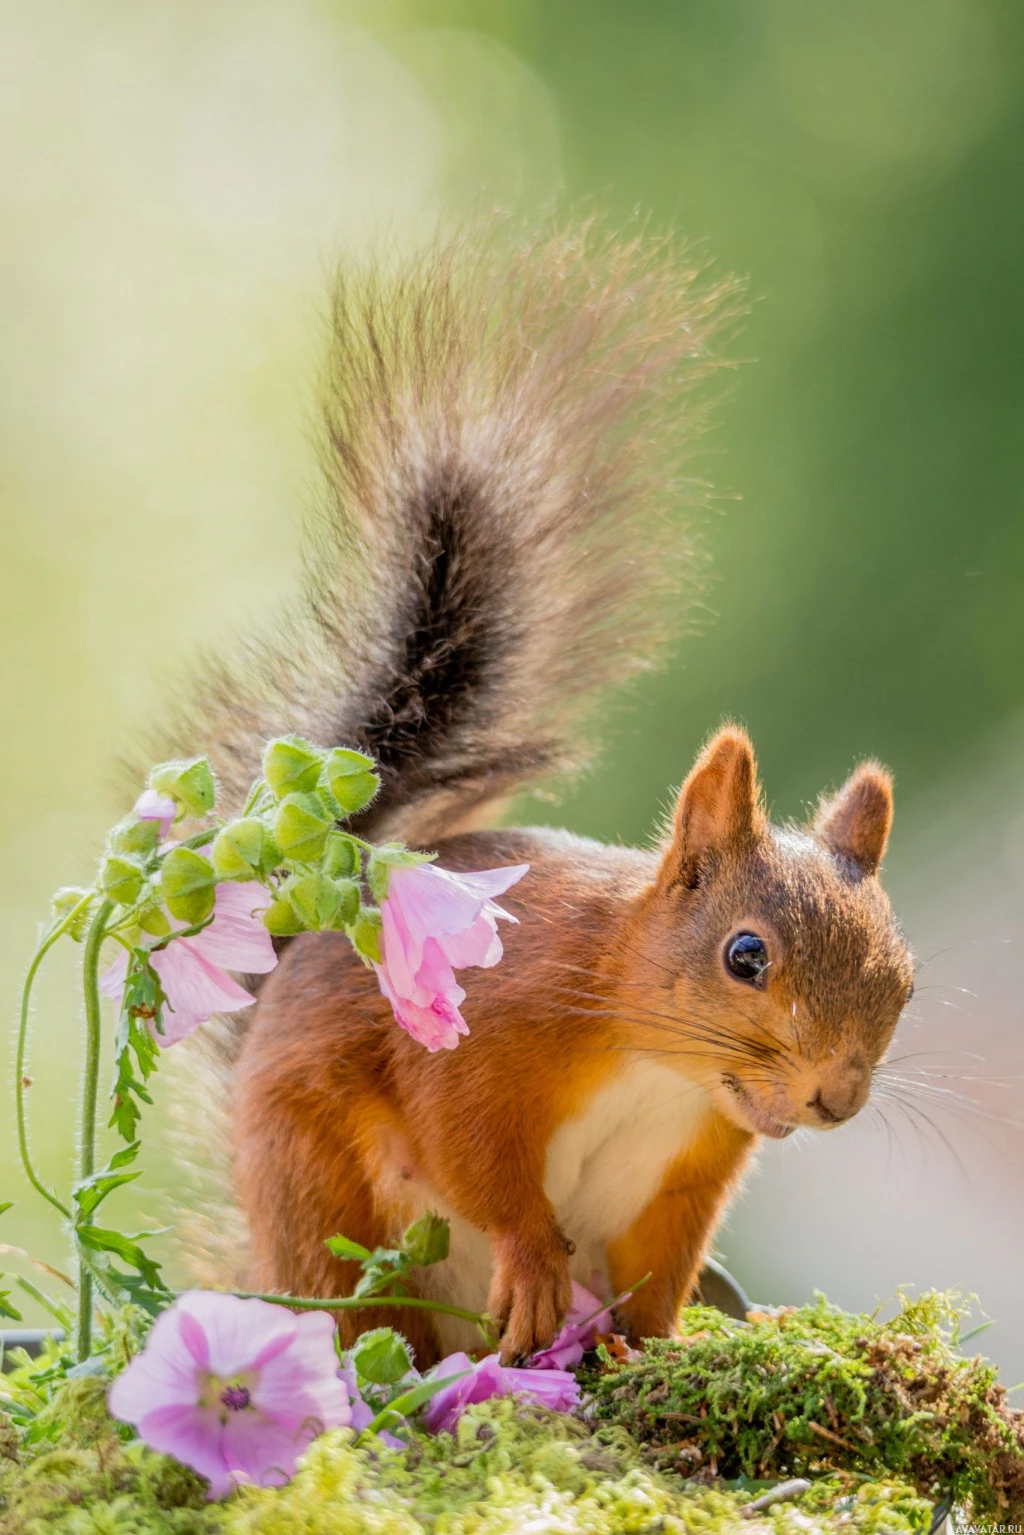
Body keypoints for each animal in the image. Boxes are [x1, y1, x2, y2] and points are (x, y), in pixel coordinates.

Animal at [168, 219, 914, 1369]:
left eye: (904, 981)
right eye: (745, 955)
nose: (835, 1098)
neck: (657, 1058)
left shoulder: (686, 1161)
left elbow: (661, 1266)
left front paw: (669, 1346)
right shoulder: (485, 1035)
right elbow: (475, 1154)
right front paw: (533, 1265)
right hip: (328, 1206)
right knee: (372, 1328)